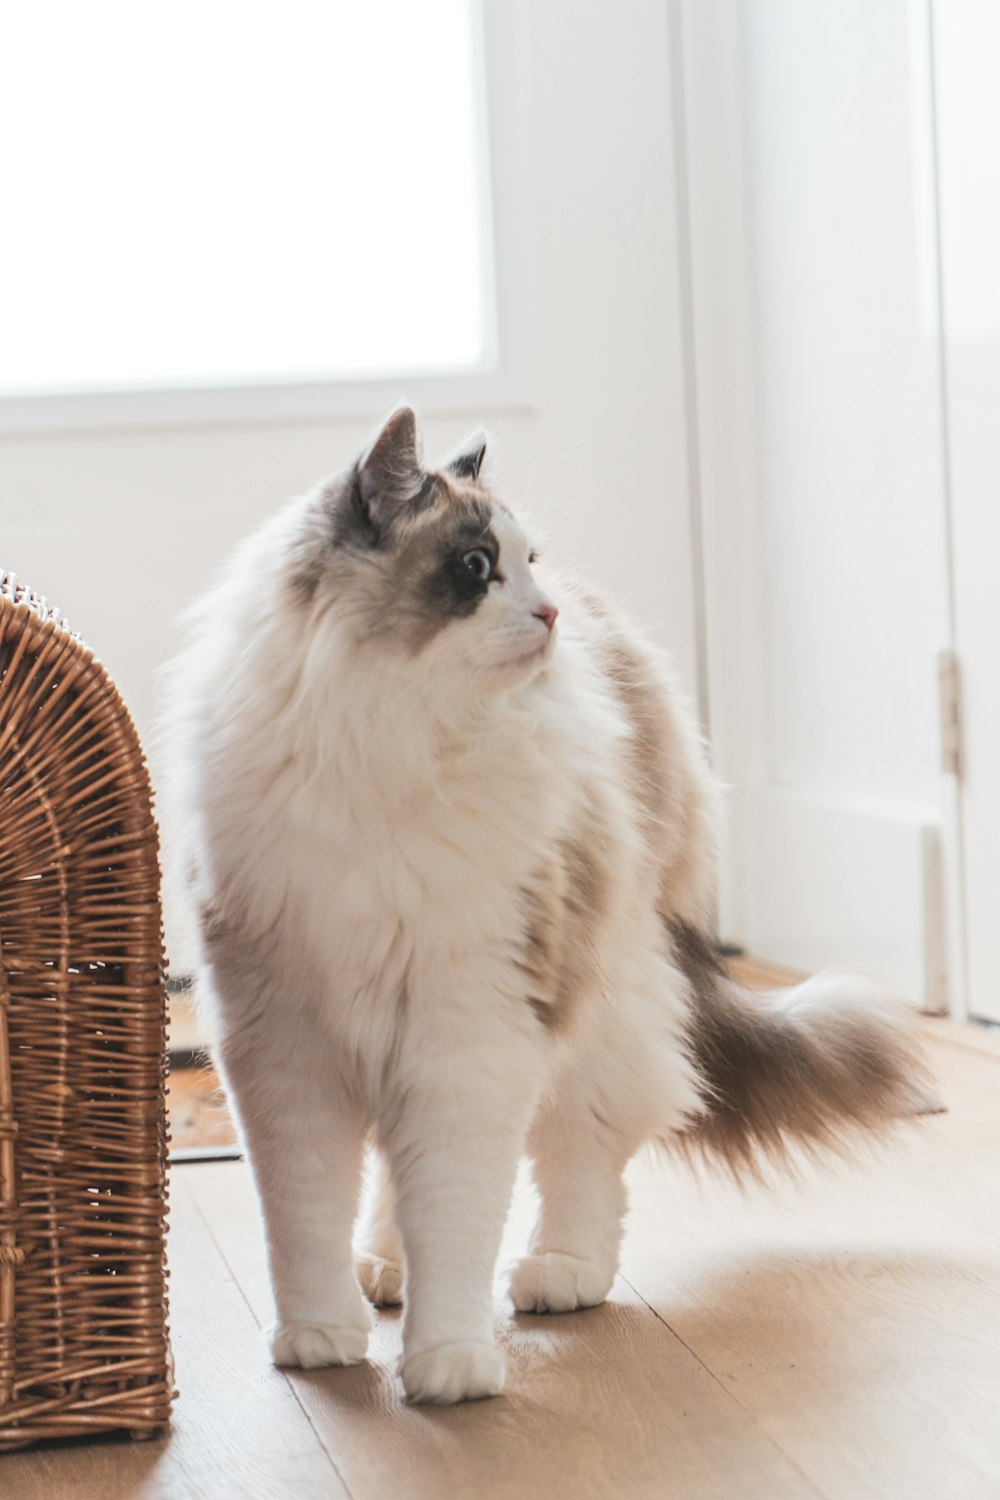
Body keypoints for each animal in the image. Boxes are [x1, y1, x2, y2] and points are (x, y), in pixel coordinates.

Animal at [160, 405, 929, 1398]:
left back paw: (561, 1273)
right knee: (397, 1179)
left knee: (587, 1153)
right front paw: (319, 1339)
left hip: (594, 1004)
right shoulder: (287, 1045)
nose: (548, 611)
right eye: (476, 567)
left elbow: (456, 1209)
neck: (391, 744)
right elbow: (306, 1219)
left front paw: (449, 1365)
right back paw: (384, 1270)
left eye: (527, 562)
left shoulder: (469, 1033)